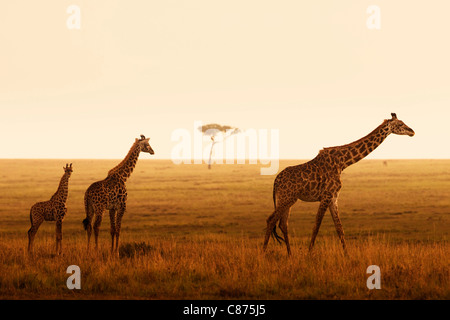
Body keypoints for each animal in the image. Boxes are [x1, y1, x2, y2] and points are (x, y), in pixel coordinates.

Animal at [264, 112, 414, 255]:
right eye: (400, 124)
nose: (412, 131)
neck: (342, 163)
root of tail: (275, 182)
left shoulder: (334, 197)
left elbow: (339, 228)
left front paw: (347, 255)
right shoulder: (326, 196)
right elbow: (317, 225)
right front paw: (308, 255)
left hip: (287, 200)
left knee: (283, 224)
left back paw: (290, 255)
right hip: (286, 198)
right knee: (271, 220)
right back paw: (263, 253)